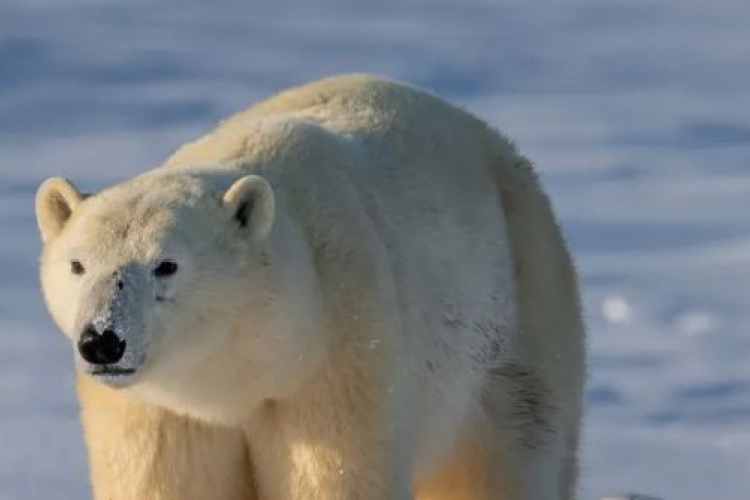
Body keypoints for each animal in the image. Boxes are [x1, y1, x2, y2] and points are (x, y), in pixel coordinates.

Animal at [35, 74, 588, 500]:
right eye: (78, 265)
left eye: (166, 265)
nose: (102, 341)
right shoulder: (162, 410)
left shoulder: (339, 359)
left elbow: (334, 476)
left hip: (518, 312)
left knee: (513, 450)